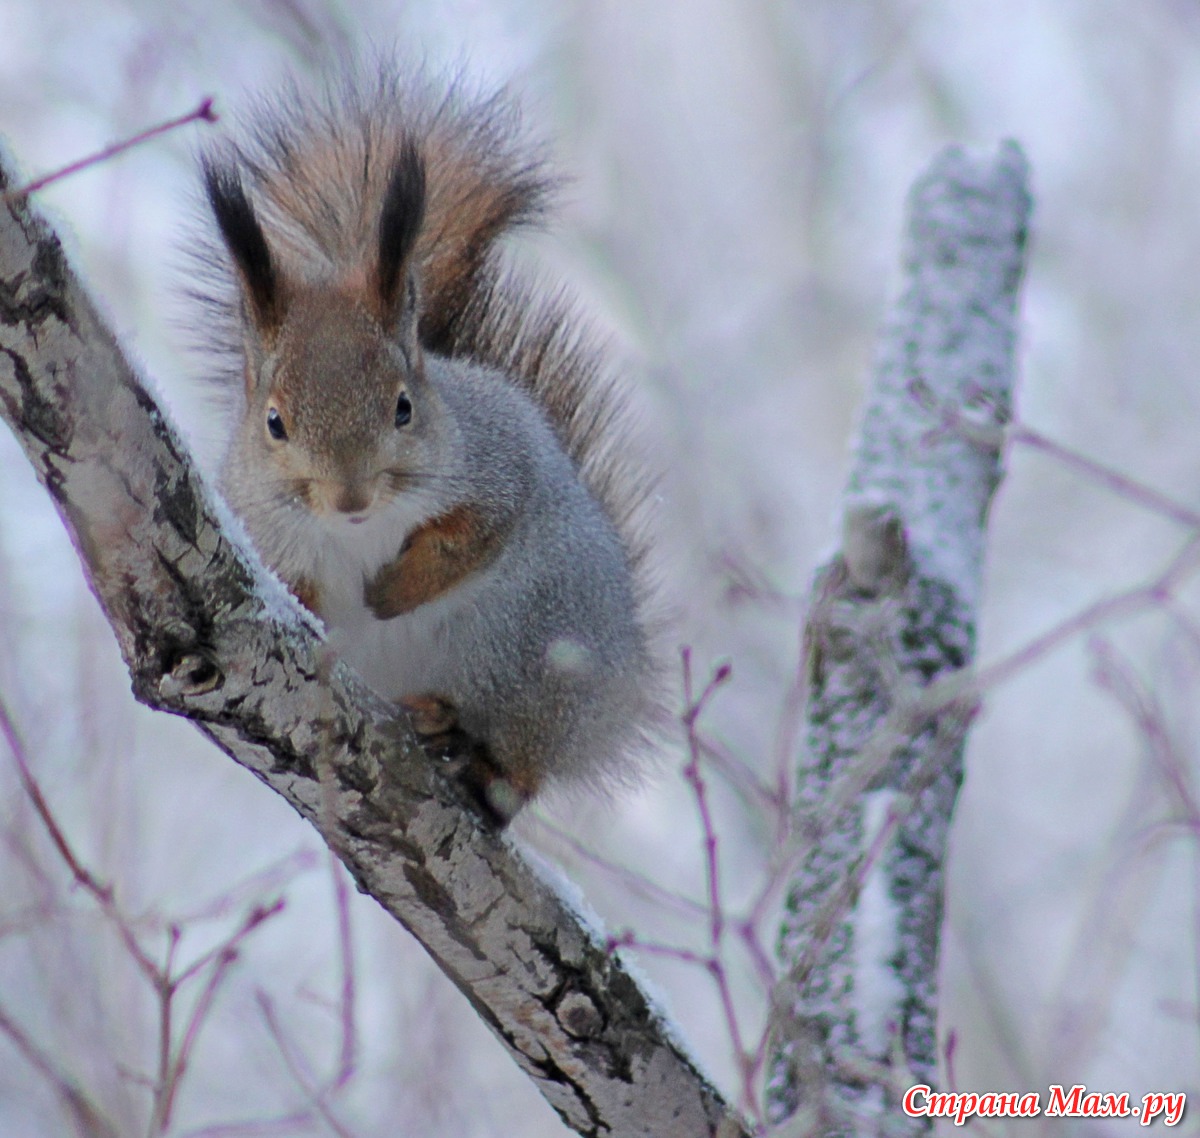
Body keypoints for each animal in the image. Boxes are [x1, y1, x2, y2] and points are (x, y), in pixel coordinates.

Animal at [198, 64, 667, 825]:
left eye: (404, 408)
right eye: (273, 423)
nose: (350, 497)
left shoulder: (498, 463)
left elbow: (474, 535)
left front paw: (392, 593)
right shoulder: (260, 522)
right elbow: (288, 583)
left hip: (538, 656)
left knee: (520, 769)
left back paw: (473, 752)